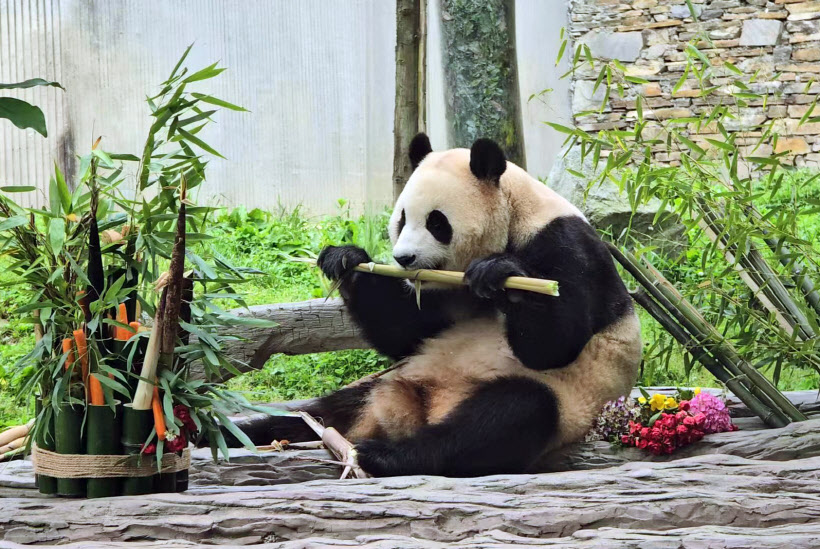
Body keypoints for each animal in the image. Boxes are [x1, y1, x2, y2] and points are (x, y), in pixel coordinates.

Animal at [231, 135, 640, 478]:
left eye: (437, 223)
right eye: (401, 219)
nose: (404, 259)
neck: (515, 215)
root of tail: (422, 409)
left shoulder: (565, 245)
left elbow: (555, 344)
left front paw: (500, 274)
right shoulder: (444, 293)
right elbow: (406, 333)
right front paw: (347, 261)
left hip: (565, 401)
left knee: (505, 418)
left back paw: (383, 456)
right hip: (382, 384)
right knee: (310, 415)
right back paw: (233, 432)